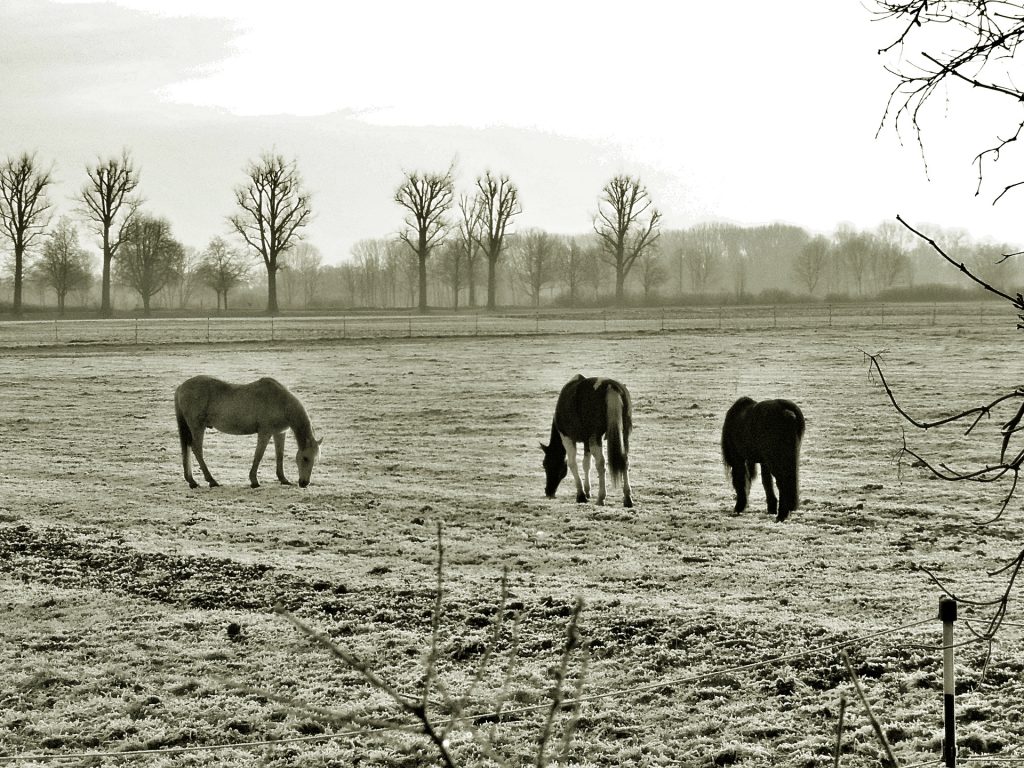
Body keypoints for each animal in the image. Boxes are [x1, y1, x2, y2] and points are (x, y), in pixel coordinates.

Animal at [174, 375, 323, 489]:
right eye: (305, 458)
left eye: (316, 459)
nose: (304, 483)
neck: (280, 402)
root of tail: (181, 386)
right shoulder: (265, 432)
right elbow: (259, 455)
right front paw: (254, 481)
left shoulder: (279, 433)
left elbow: (279, 455)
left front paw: (283, 479)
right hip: (198, 427)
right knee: (196, 449)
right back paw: (211, 481)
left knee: (187, 448)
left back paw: (192, 481)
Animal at [540, 374, 634, 507]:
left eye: (546, 464)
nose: (548, 492)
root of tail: (611, 386)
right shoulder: (586, 441)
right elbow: (586, 464)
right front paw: (587, 491)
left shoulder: (567, 438)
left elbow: (572, 463)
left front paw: (581, 495)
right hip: (624, 433)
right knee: (624, 460)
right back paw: (627, 497)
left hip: (595, 437)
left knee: (600, 463)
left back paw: (601, 497)